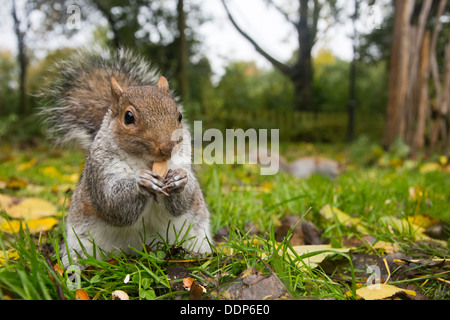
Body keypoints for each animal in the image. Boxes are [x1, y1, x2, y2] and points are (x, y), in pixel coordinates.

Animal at [38, 46, 213, 264]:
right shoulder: (100, 169)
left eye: (179, 115)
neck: (146, 161)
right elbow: (113, 203)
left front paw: (179, 179)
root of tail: (137, 250)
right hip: (80, 245)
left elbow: (183, 202)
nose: (168, 147)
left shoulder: (182, 160)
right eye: (128, 117)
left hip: (196, 234)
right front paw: (142, 182)